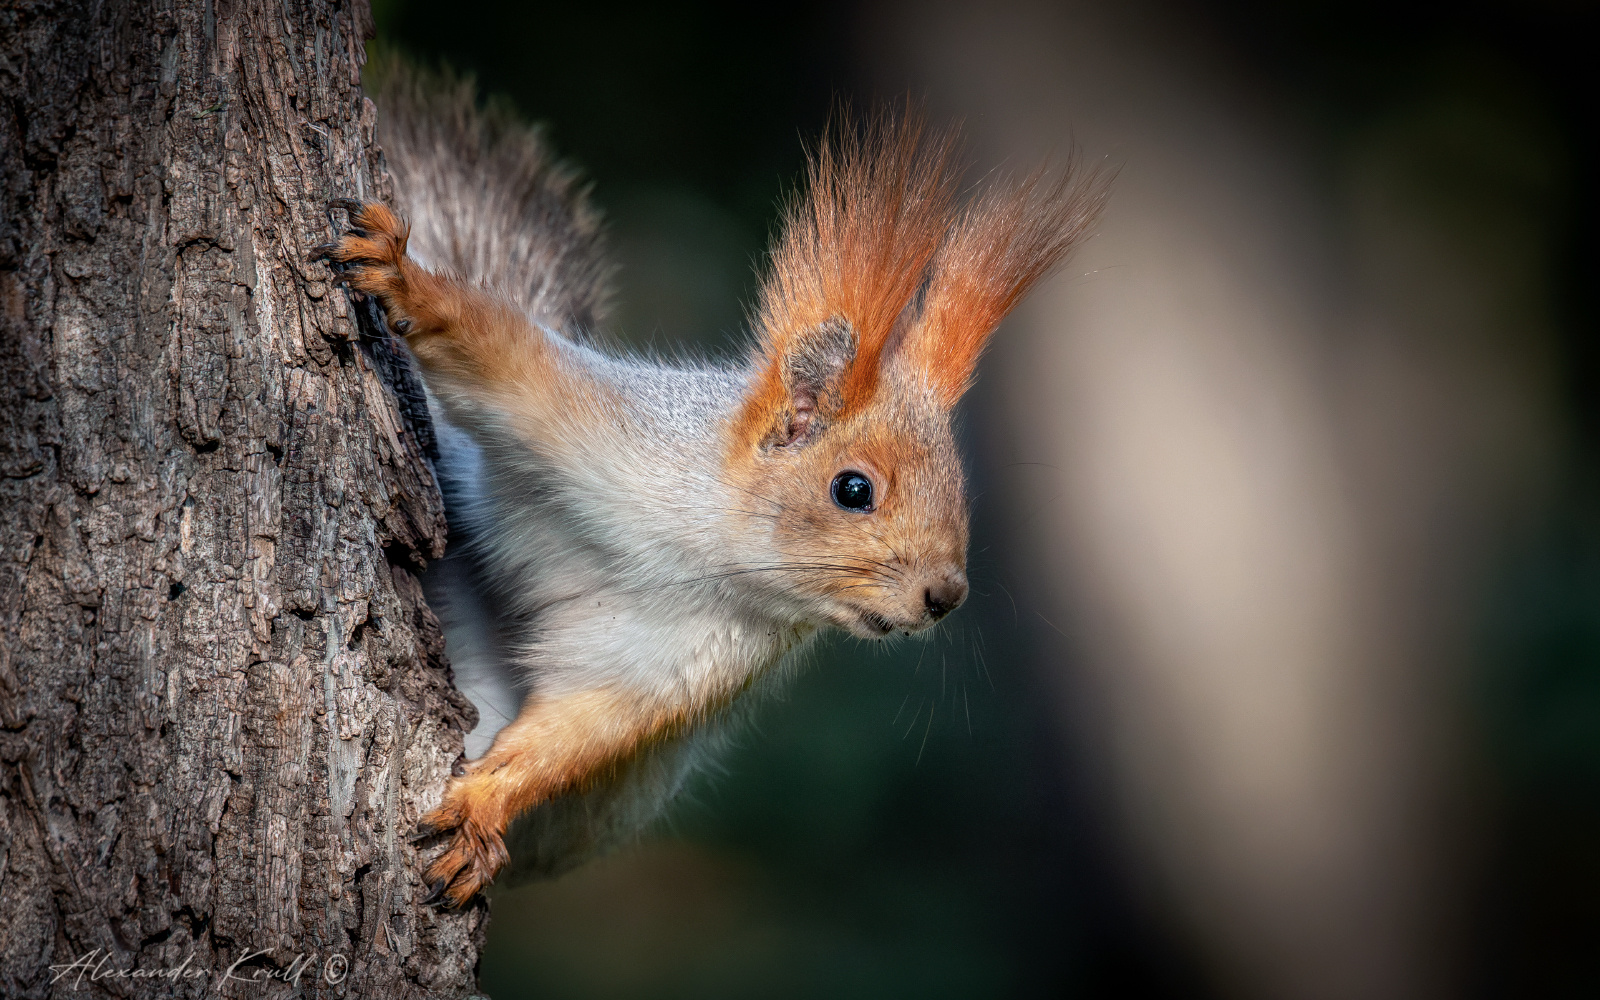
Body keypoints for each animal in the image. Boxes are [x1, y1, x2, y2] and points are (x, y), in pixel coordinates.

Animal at [317, 65, 1108, 908]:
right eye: (852, 489)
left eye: (960, 485)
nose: (946, 596)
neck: (709, 552)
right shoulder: (588, 427)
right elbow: (496, 354)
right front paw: (404, 278)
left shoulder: (673, 662)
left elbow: (571, 731)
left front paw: (484, 807)